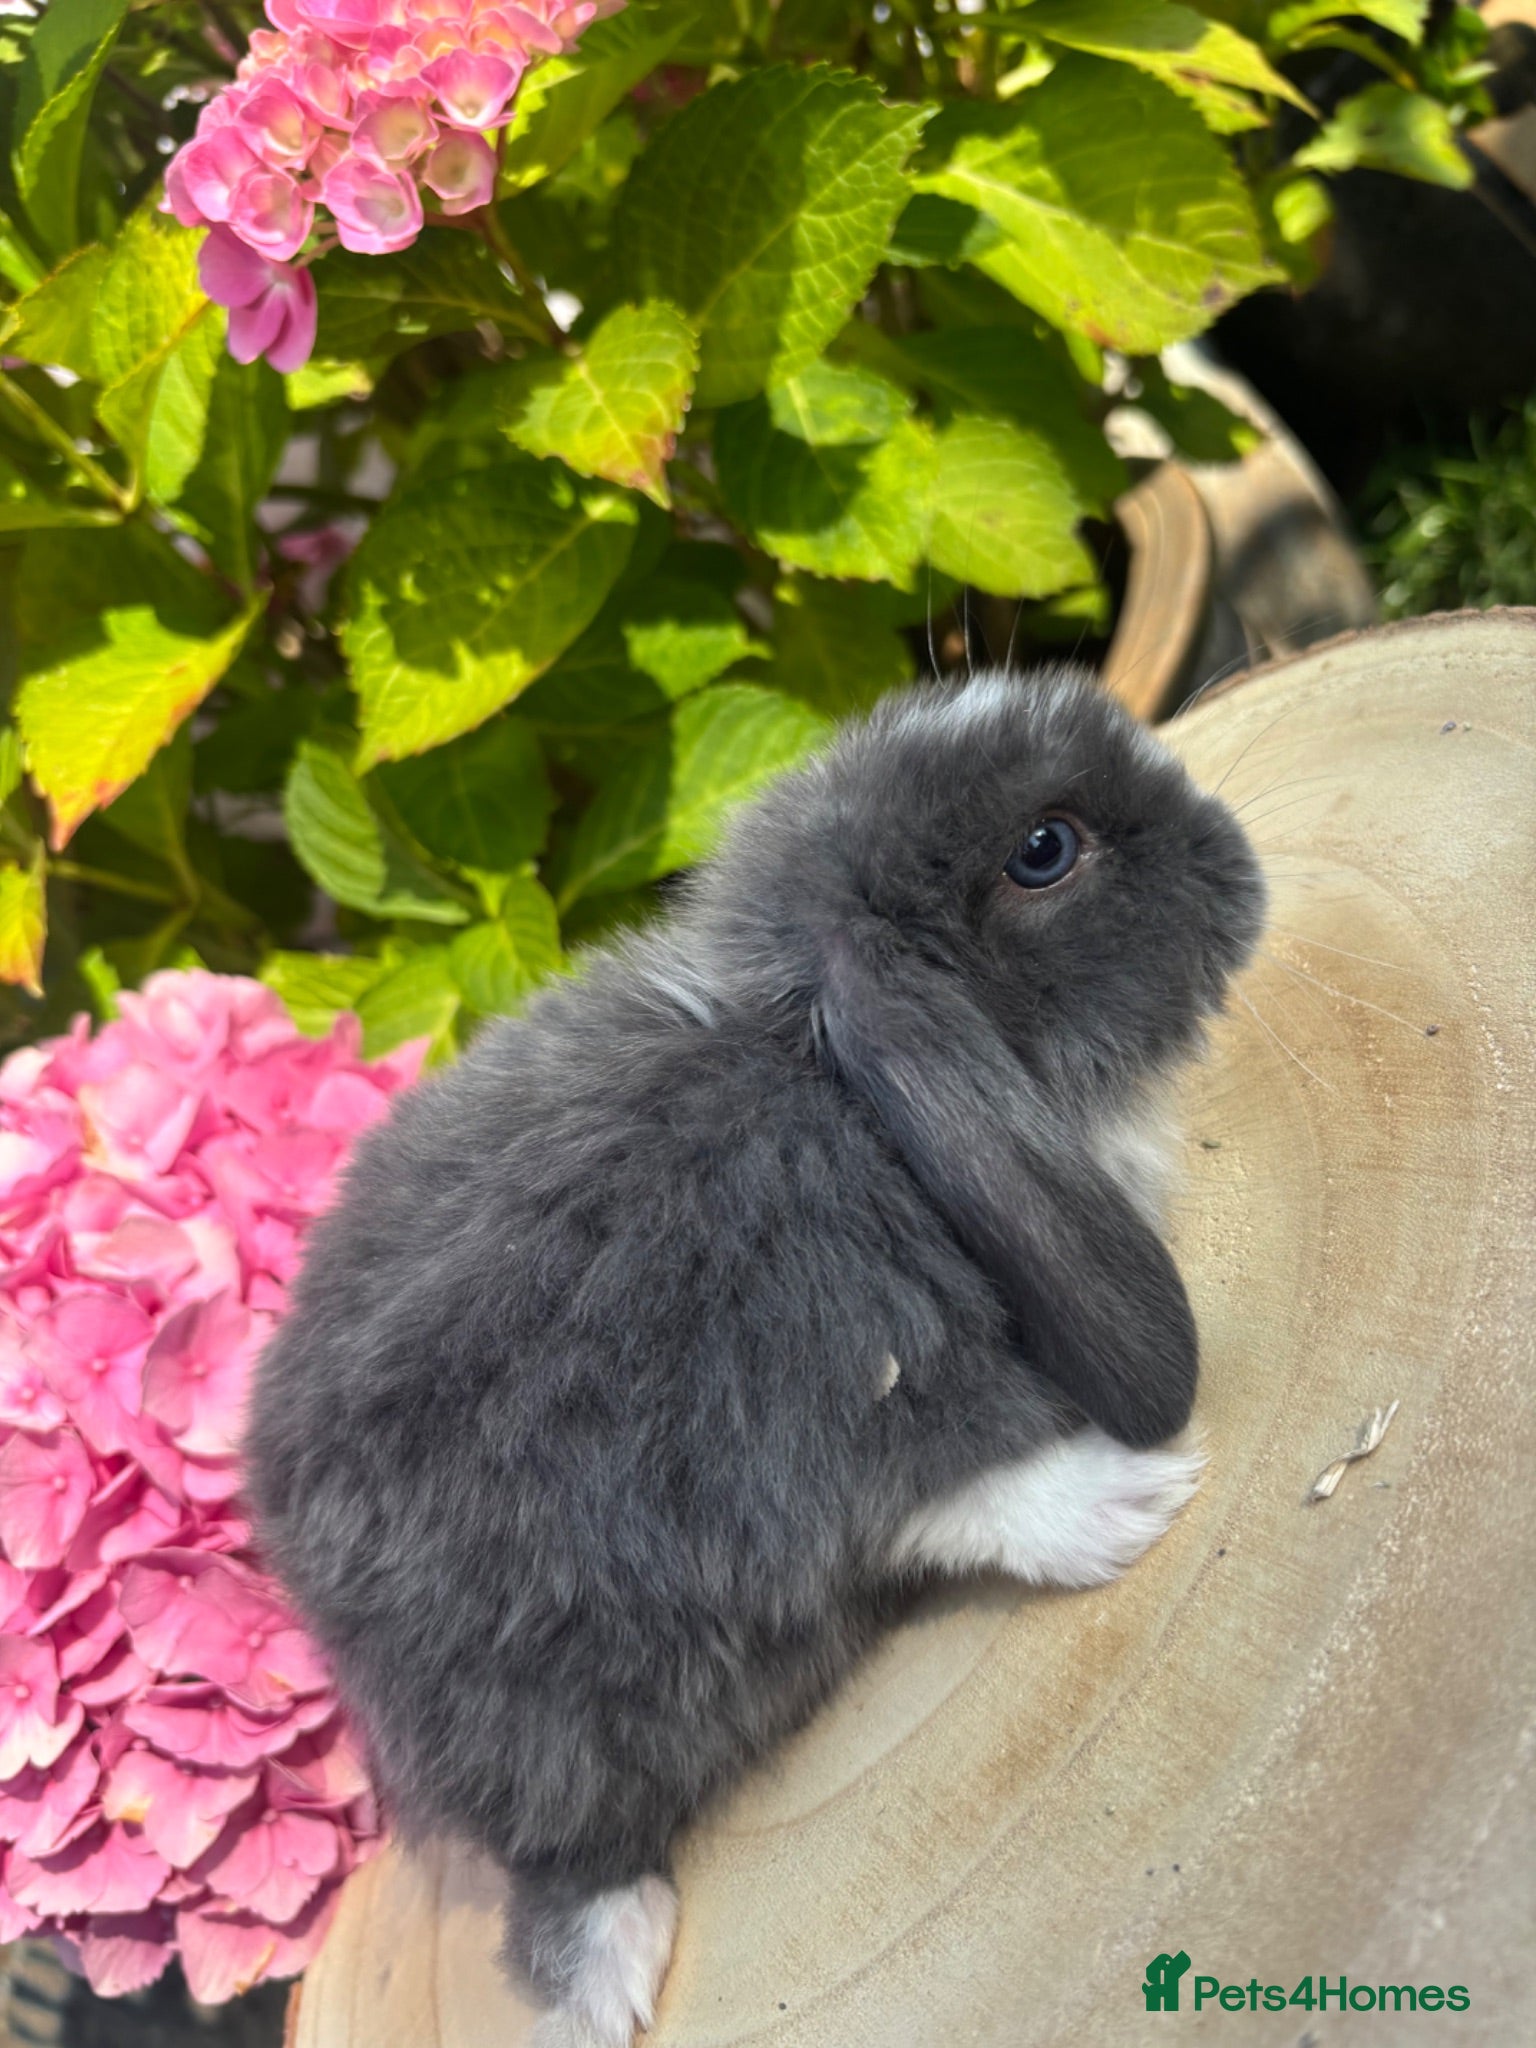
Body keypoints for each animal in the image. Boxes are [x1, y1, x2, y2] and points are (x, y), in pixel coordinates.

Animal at [245, 668, 1266, 2047]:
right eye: (1045, 849)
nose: (1237, 858)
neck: (830, 1084)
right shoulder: (809, 1399)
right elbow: (952, 1480)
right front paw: (1126, 1499)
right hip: (545, 1715)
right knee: (565, 1853)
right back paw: (608, 1978)